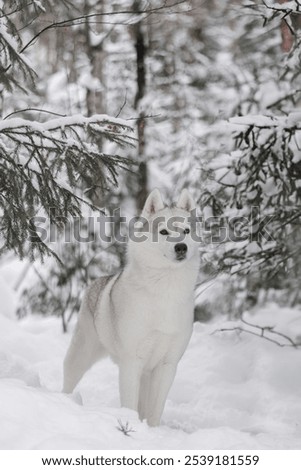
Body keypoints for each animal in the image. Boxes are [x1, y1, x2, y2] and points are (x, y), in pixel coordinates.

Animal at [63, 187, 199, 426]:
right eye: (164, 232)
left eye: (186, 230)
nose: (181, 247)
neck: (165, 292)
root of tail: (98, 282)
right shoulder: (131, 362)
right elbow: (130, 405)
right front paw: (131, 425)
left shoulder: (167, 365)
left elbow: (154, 411)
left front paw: (151, 430)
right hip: (82, 355)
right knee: (68, 379)